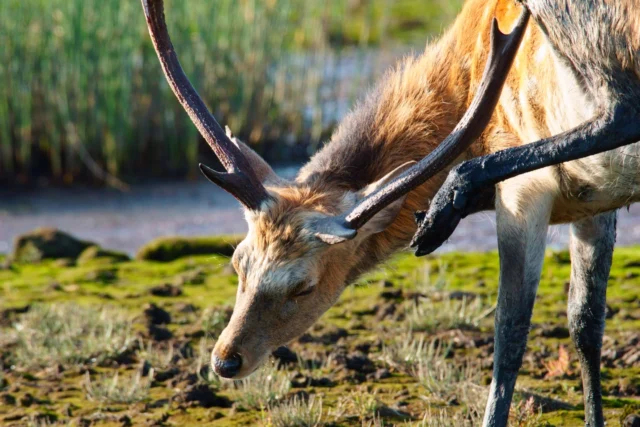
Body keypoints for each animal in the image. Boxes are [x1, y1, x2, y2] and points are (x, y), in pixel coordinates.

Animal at [140, 0, 640, 426]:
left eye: (304, 286)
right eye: (237, 262)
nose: (225, 359)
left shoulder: (523, 194)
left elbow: (509, 330)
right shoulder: (596, 201)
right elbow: (585, 323)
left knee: (621, 109)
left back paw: (453, 195)